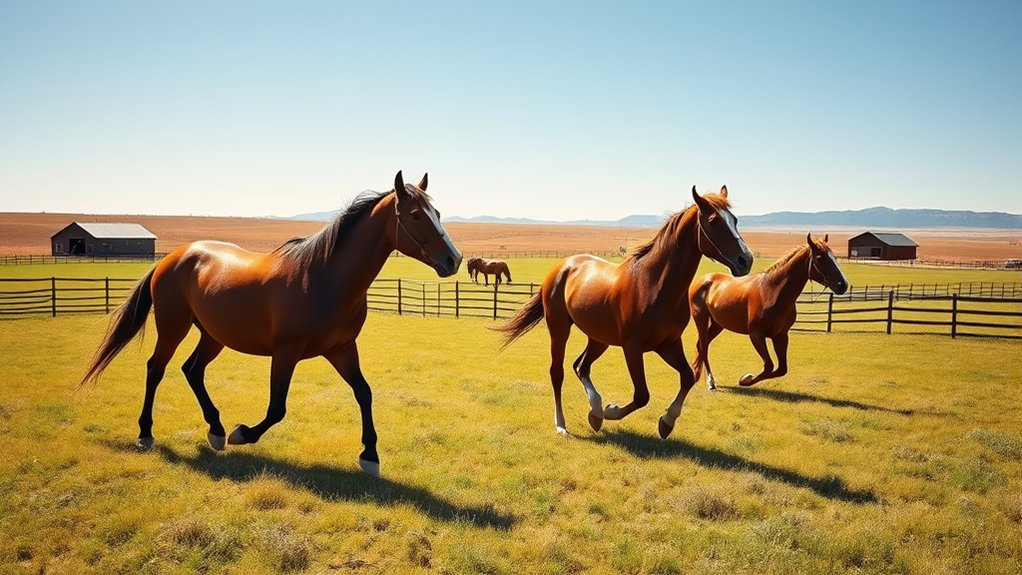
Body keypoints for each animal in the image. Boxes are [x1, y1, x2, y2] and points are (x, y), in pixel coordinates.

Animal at [79, 171, 462, 478]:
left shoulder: (341, 349)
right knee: (156, 369)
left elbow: (364, 393)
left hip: (214, 336)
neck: (322, 276)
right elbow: (277, 408)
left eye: (438, 213)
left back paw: (215, 429)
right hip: (173, 328)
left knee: (192, 370)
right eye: (416, 215)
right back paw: (147, 433)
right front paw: (243, 433)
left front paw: (370, 456)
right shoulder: (286, 352)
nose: (453, 259)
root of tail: (172, 257)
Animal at [496, 186, 754, 439]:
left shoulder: (668, 344)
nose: (746, 260)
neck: (654, 284)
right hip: (559, 329)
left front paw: (666, 422)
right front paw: (611, 411)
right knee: (557, 373)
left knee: (581, 367)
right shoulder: (632, 347)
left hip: (599, 339)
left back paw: (595, 412)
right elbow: (642, 395)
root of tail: (563, 266)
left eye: (734, 220)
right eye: (713, 221)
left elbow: (688, 378)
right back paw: (563, 424)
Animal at [689, 233, 848, 390]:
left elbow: (781, 369)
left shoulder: (780, 336)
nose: (843, 285)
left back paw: (697, 374)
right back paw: (710, 382)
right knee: (703, 346)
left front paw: (746, 378)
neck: (771, 291)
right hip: (701, 320)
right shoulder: (756, 335)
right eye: (820, 258)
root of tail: (703, 280)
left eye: (834, 256)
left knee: (701, 346)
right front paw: (745, 379)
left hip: (718, 324)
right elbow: (769, 366)